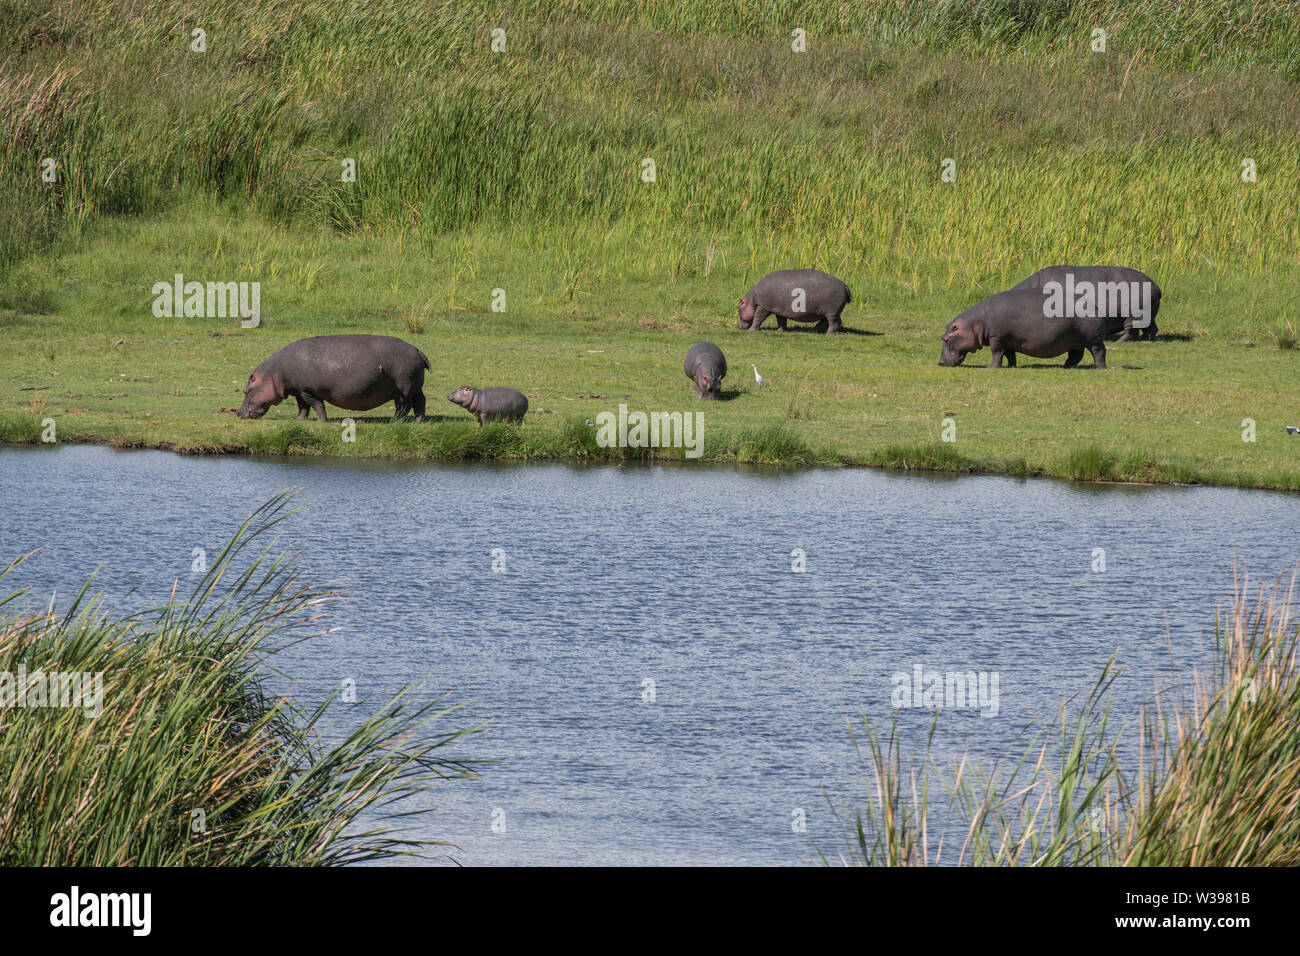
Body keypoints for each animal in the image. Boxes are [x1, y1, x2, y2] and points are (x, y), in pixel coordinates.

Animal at [239, 338, 431, 424]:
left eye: (246, 390)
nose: (238, 413)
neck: (273, 374)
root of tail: (417, 350)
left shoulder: (308, 391)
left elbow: (317, 405)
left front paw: (322, 421)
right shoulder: (299, 391)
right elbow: (303, 407)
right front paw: (298, 420)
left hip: (402, 389)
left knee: (403, 406)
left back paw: (394, 421)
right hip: (414, 388)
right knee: (420, 401)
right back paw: (418, 420)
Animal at [935, 290, 1107, 369]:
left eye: (946, 338)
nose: (940, 362)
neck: (975, 324)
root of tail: (1094, 307)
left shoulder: (996, 338)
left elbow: (996, 353)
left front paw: (990, 368)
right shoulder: (1007, 340)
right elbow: (1009, 354)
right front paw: (1011, 366)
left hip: (1093, 340)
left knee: (1099, 352)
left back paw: (1099, 368)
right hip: (1074, 341)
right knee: (1075, 356)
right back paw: (1065, 367)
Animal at [1008, 267, 1164, 343]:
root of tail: (1156, 286)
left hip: (1135, 314)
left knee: (1131, 330)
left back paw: (1120, 342)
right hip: (1147, 314)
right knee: (1150, 328)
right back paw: (1146, 340)